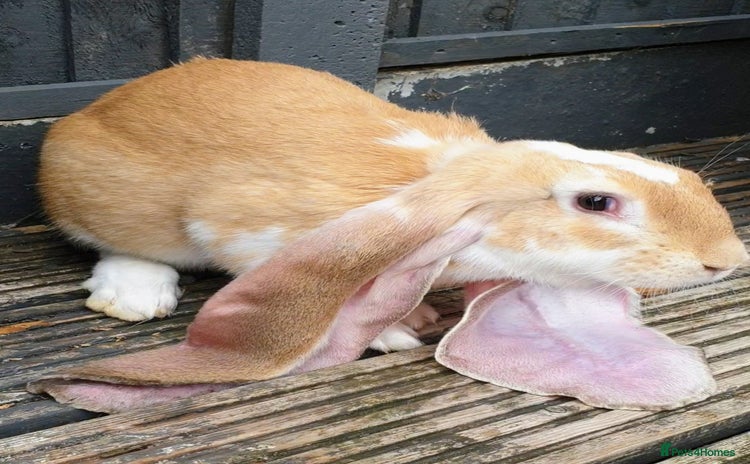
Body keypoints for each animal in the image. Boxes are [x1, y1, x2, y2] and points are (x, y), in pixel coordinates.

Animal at [32, 57, 748, 413]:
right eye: (596, 201)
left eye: (685, 176)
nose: (727, 259)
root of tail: (83, 115)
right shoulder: (245, 231)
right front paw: (396, 330)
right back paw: (134, 294)